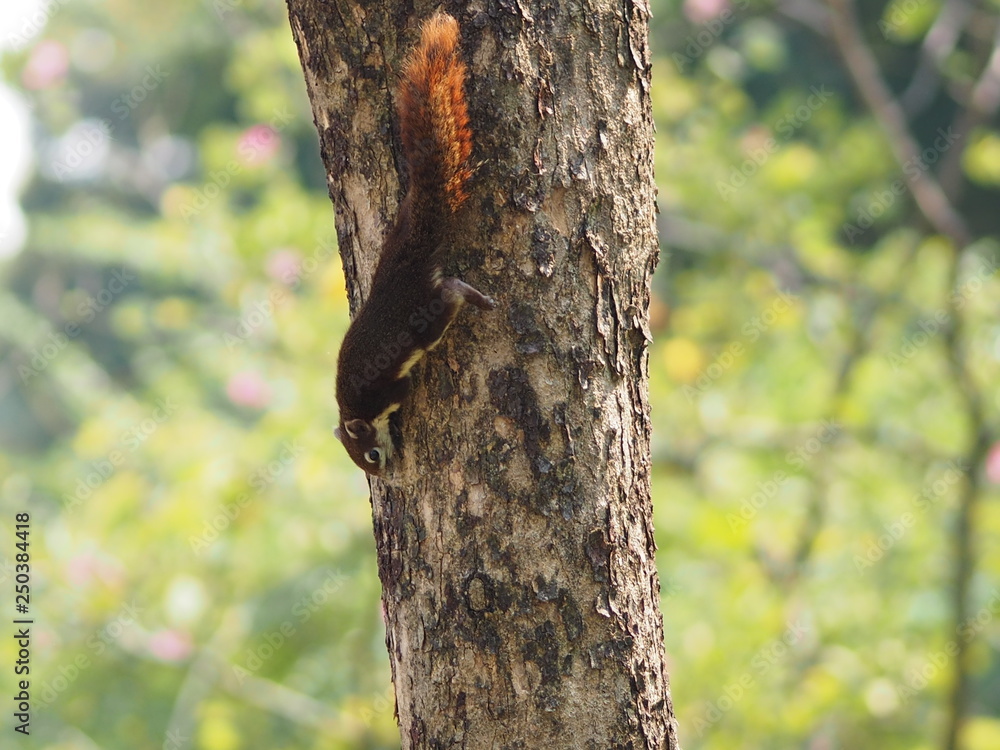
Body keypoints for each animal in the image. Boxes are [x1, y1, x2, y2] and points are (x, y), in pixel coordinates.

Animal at [334, 12, 495, 476]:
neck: (354, 410)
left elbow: (402, 393)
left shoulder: (387, 392)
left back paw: (477, 299)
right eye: (359, 461)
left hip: (427, 315)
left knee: (451, 292)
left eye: (370, 454)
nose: (382, 473)